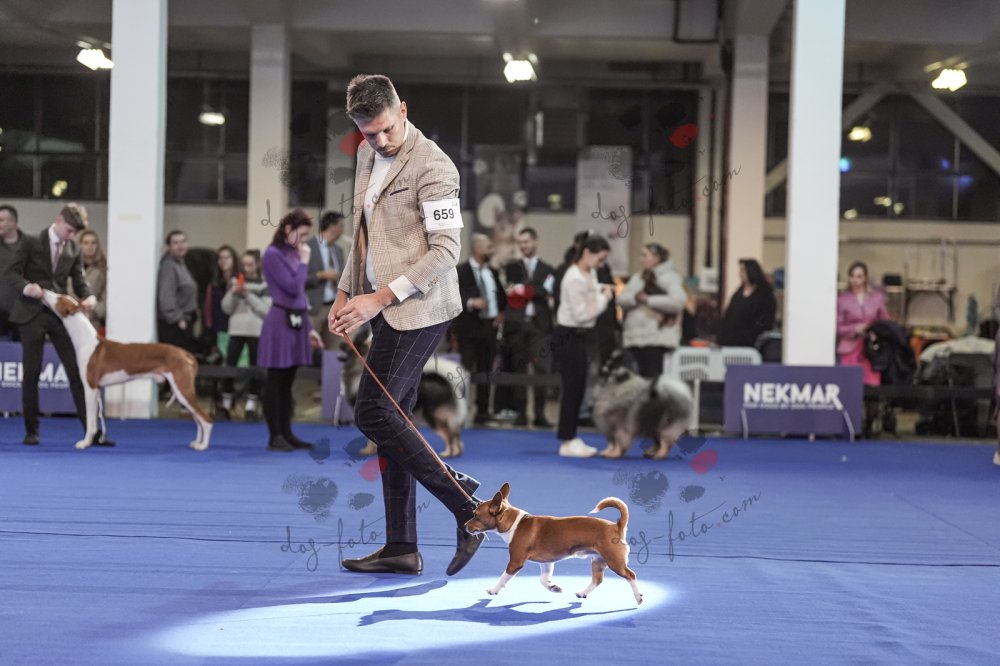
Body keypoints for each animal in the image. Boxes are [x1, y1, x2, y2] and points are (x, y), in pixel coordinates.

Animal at [41, 290, 212, 451]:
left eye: (59, 297)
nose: (44, 291)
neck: (86, 342)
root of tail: (185, 353)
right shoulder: (96, 390)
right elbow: (93, 422)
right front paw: (90, 442)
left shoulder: (90, 388)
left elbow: (90, 422)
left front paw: (85, 443)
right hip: (181, 391)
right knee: (198, 420)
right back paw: (197, 443)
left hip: (182, 389)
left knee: (206, 420)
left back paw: (203, 446)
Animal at [339, 328, 468, 457]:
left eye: (358, 338)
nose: (341, 344)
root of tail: (442, 380)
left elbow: (370, 439)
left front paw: (367, 451)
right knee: (455, 433)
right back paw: (456, 452)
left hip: (432, 417)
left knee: (449, 434)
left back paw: (448, 453)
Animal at [465, 482, 643, 605]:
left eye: (476, 515)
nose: (465, 525)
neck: (514, 523)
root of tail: (617, 526)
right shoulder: (547, 562)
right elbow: (544, 580)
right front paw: (553, 587)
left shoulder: (515, 562)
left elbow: (503, 578)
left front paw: (493, 590)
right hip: (598, 561)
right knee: (597, 580)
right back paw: (582, 593)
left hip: (615, 562)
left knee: (631, 575)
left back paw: (638, 597)